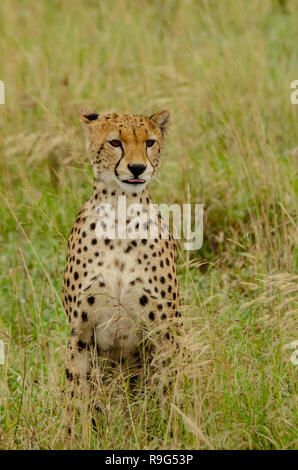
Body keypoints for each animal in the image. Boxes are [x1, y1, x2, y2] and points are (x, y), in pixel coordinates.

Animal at [62, 106, 183, 408]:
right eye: (115, 143)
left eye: (149, 142)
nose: (137, 168)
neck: (120, 211)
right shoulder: (80, 333)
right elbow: (77, 397)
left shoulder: (165, 330)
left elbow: (167, 392)